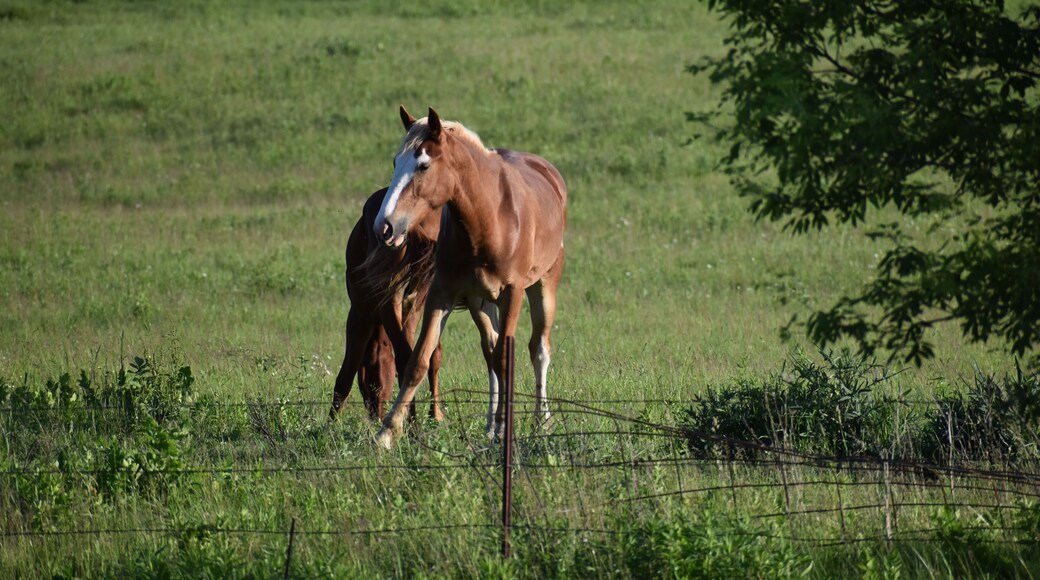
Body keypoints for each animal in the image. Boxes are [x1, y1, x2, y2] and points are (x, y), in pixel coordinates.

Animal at [329, 186, 444, 422]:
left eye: (369, 382)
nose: (376, 415)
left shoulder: (359, 315)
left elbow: (346, 375)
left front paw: (328, 425)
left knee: (404, 358)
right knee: (422, 356)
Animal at [373, 106, 567, 448]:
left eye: (423, 165)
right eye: (396, 162)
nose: (384, 227)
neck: (489, 217)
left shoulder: (513, 294)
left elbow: (507, 358)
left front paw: (508, 427)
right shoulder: (442, 294)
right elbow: (418, 360)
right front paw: (386, 433)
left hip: (543, 288)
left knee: (538, 349)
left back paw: (540, 420)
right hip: (481, 302)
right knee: (490, 351)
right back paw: (492, 425)